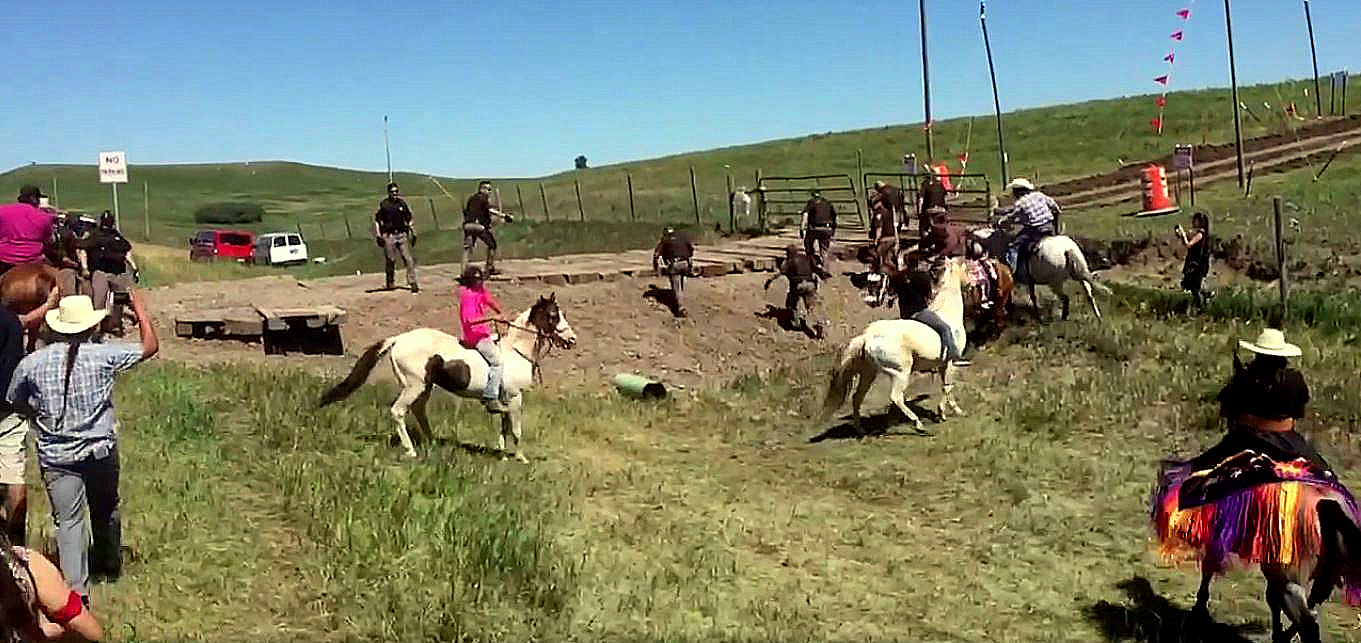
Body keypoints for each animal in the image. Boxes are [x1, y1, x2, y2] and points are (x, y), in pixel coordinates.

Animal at [321, 291, 577, 463]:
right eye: (552, 316)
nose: (572, 340)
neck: (515, 351)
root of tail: (398, 339)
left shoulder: (505, 399)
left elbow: (504, 427)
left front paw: (503, 454)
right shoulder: (515, 397)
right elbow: (515, 429)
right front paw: (521, 457)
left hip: (424, 387)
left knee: (419, 411)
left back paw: (432, 442)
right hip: (413, 386)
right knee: (398, 411)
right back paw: (411, 450)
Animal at [811, 253, 974, 433]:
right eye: (966, 270)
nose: (971, 284)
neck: (947, 313)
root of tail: (867, 337)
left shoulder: (942, 364)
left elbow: (947, 386)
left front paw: (953, 411)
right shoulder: (949, 362)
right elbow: (947, 386)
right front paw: (945, 412)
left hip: (869, 373)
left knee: (857, 398)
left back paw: (860, 430)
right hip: (901, 373)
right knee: (896, 397)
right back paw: (918, 424)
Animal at [969, 226, 1105, 321]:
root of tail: (1067, 248)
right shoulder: (1030, 281)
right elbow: (1033, 297)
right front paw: (1036, 315)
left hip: (1055, 283)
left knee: (1065, 298)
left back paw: (1063, 318)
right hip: (1079, 275)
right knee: (1089, 293)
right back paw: (1098, 316)